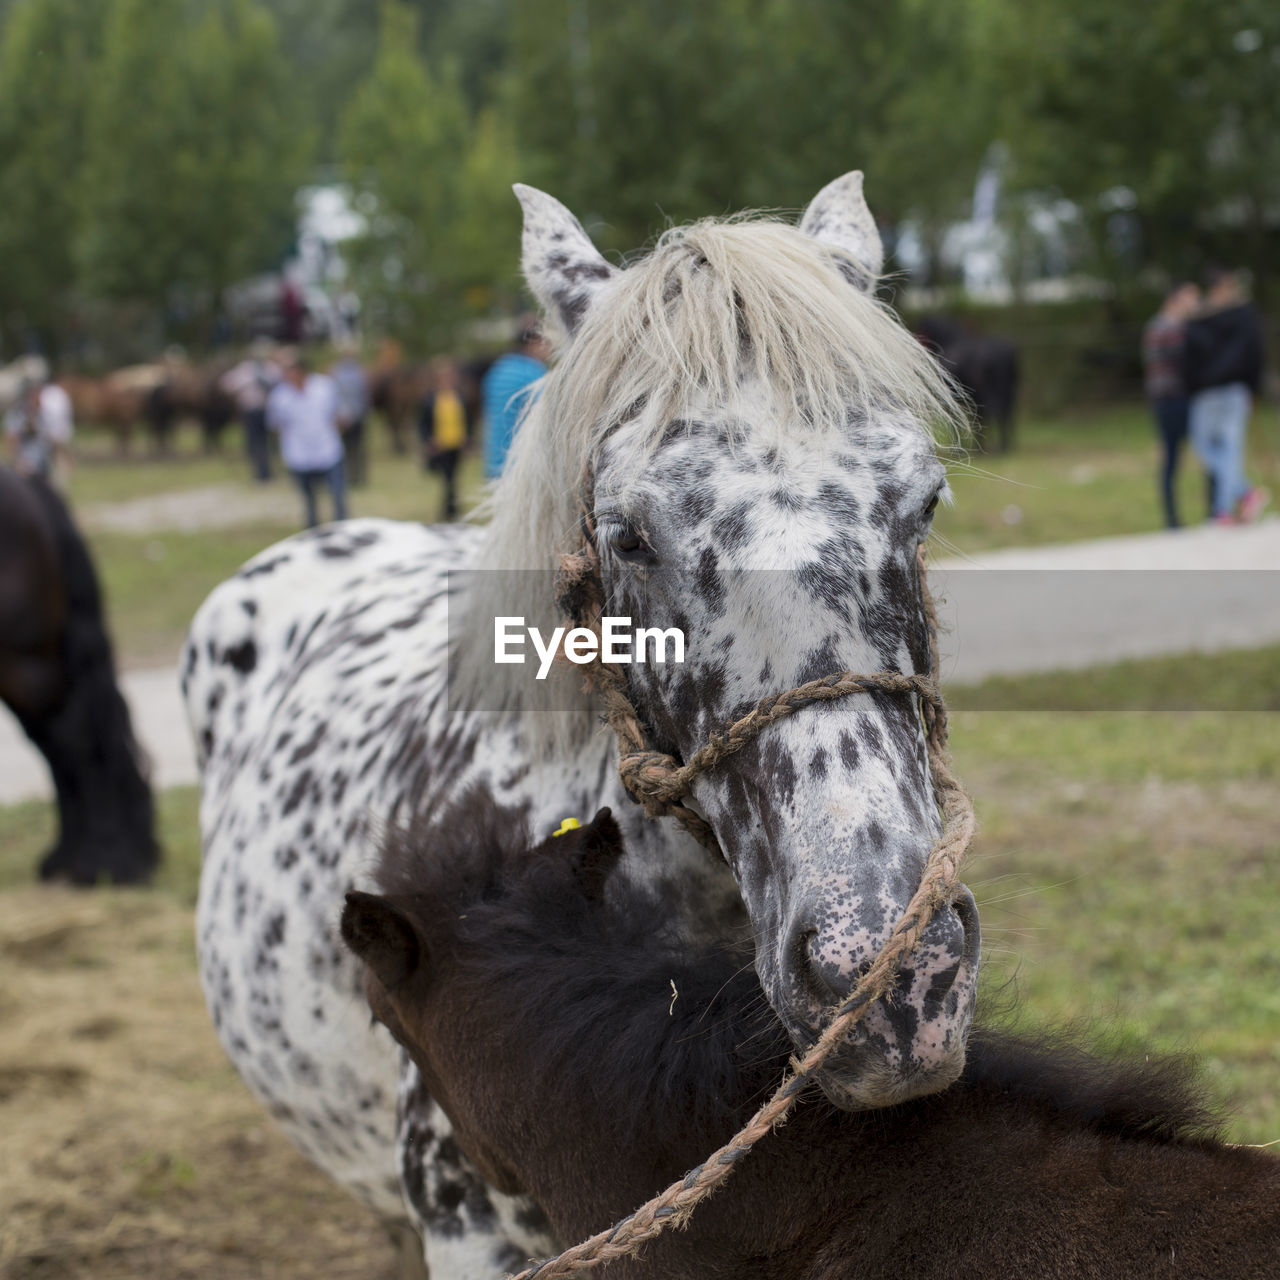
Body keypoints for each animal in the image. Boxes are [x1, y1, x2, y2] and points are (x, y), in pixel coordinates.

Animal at [0, 471, 158, 890]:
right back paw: (72, 856)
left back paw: (100, 860)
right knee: (56, 743)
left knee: (71, 738)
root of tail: (27, 485)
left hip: (29, 660)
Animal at [921, 312, 1018, 453]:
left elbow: (958, 421)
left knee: (998, 411)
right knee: (1007, 413)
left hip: (994, 390)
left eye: (922, 328)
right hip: (1009, 390)